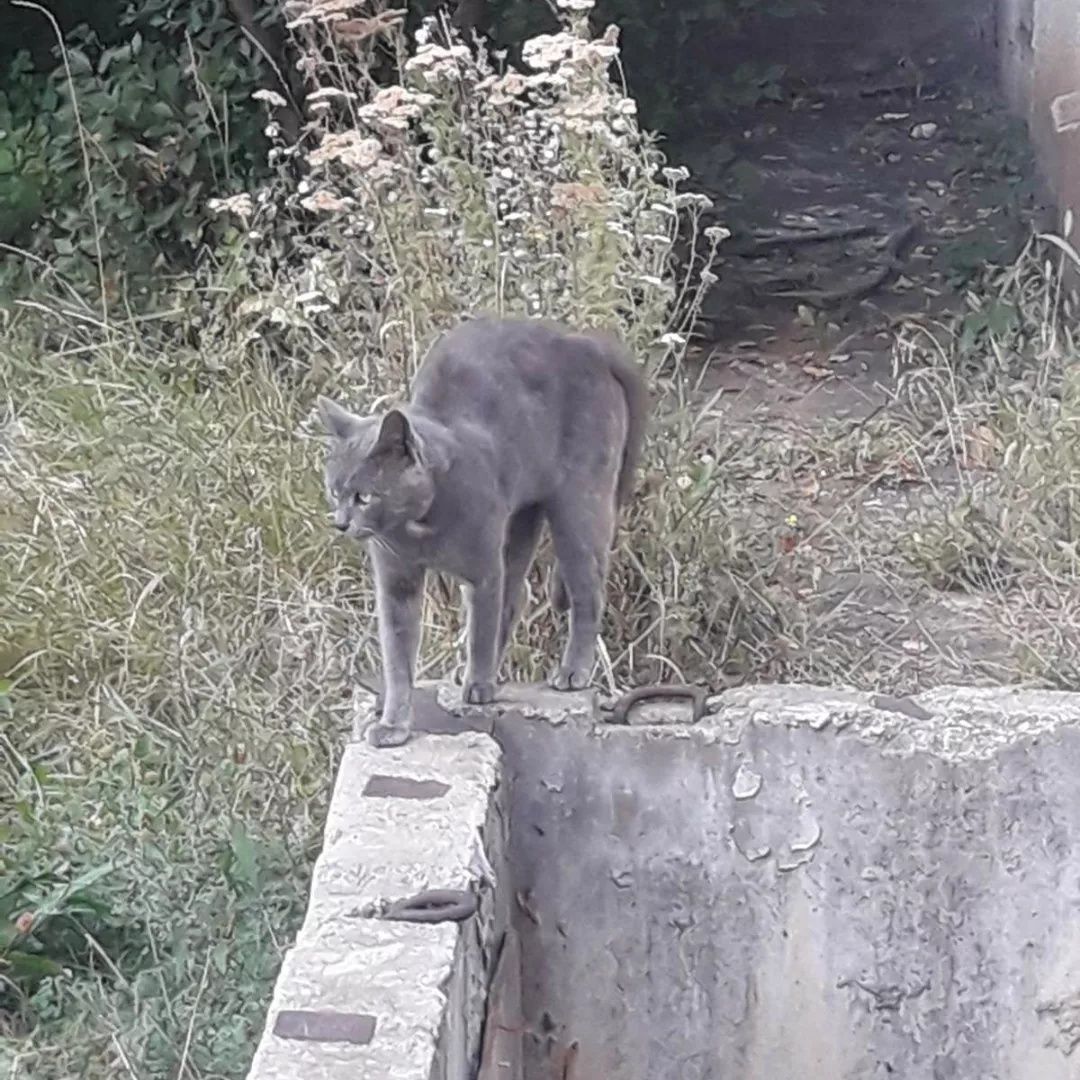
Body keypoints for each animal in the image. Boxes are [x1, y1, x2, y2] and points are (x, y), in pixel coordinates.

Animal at [315, 315, 643, 747]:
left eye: (364, 496)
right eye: (334, 491)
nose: (340, 522)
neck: (419, 527)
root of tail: (588, 343)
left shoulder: (483, 567)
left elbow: (481, 628)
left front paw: (479, 686)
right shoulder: (396, 583)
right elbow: (398, 659)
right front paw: (393, 725)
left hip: (578, 506)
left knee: (586, 591)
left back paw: (573, 672)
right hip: (524, 514)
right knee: (518, 594)